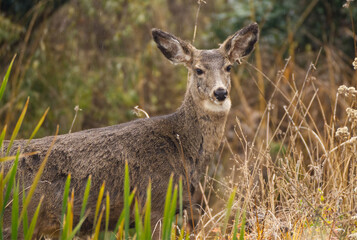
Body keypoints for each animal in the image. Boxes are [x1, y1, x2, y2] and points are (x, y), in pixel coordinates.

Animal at [3, 22, 258, 238]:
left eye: (228, 67)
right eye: (198, 70)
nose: (220, 93)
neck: (182, 146)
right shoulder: (155, 203)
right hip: (16, 219)